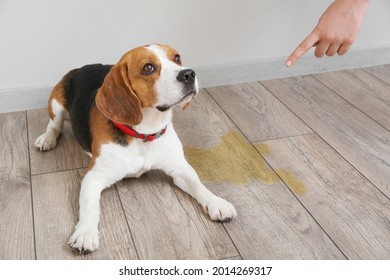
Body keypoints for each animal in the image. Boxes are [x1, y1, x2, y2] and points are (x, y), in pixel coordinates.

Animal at [35, 43, 236, 254]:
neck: (144, 133)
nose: (189, 74)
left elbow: (198, 184)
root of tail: (81, 68)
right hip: (56, 105)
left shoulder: (179, 168)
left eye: (177, 58)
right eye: (148, 68)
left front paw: (216, 202)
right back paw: (47, 139)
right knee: (54, 125)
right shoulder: (94, 177)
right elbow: (90, 208)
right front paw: (85, 234)